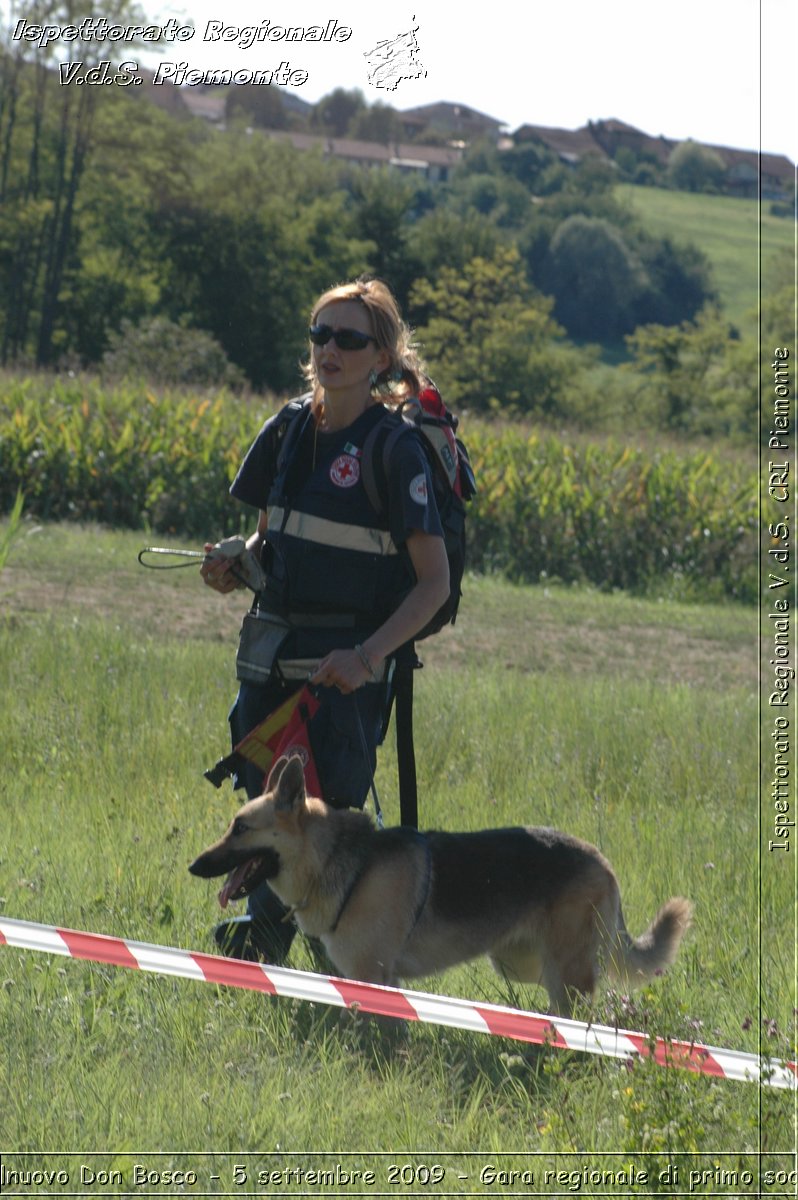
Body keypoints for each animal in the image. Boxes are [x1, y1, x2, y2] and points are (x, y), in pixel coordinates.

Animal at [188, 753, 691, 1017]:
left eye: (240, 828)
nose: (194, 865)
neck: (339, 861)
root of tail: (603, 862)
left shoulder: (375, 977)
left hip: (563, 971)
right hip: (526, 964)